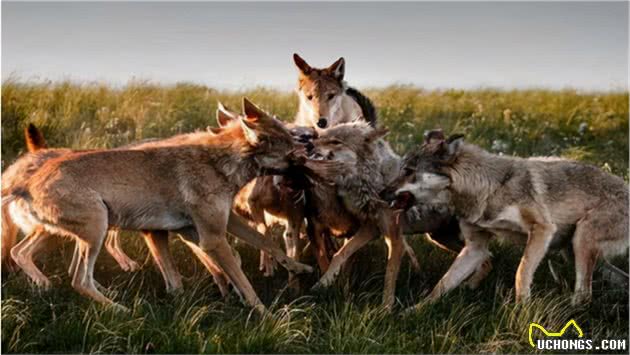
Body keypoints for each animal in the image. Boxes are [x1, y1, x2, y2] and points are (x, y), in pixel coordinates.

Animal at [3, 99, 330, 312]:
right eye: (292, 145)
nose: (312, 139)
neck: (221, 162)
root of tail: (26, 180)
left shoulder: (219, 224)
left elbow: (267, 244)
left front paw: (299, 267)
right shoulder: (212, 238)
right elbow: (245, 283)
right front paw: (264, 314)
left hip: (79, 234)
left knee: (60, 268)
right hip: (96, 229)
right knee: (79, 279)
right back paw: (121, 310)